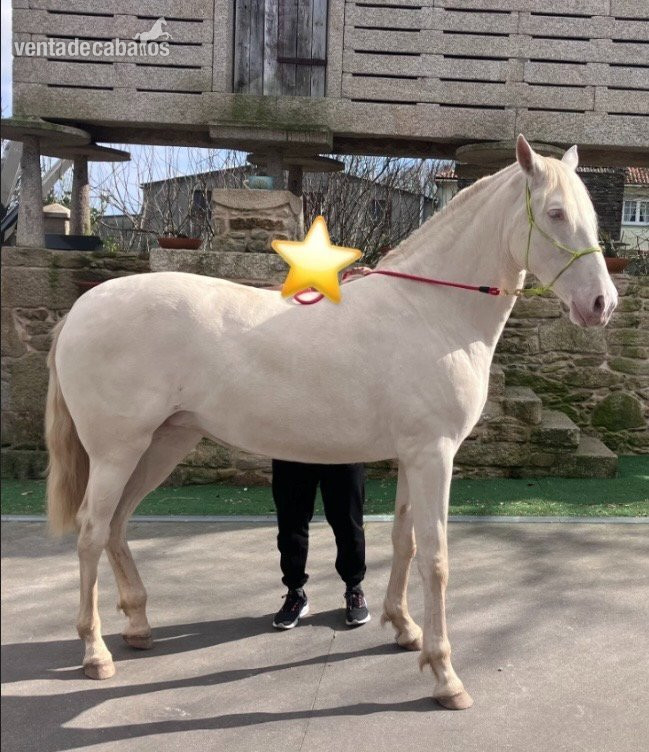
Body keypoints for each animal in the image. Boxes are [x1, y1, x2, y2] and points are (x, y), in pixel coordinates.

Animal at [45, 136, 617, 709]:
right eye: (556, 213)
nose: (602, 305)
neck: (430, 311)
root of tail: (80, 309)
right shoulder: (434, 456)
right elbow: (436, 558)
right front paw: (445, 675)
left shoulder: (413, 456)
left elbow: (404, 542)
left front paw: (404, 629)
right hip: (118, 452)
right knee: (92, 531)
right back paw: (96, 653)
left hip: (163, 443)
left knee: (117, 525)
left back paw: (139, 626)